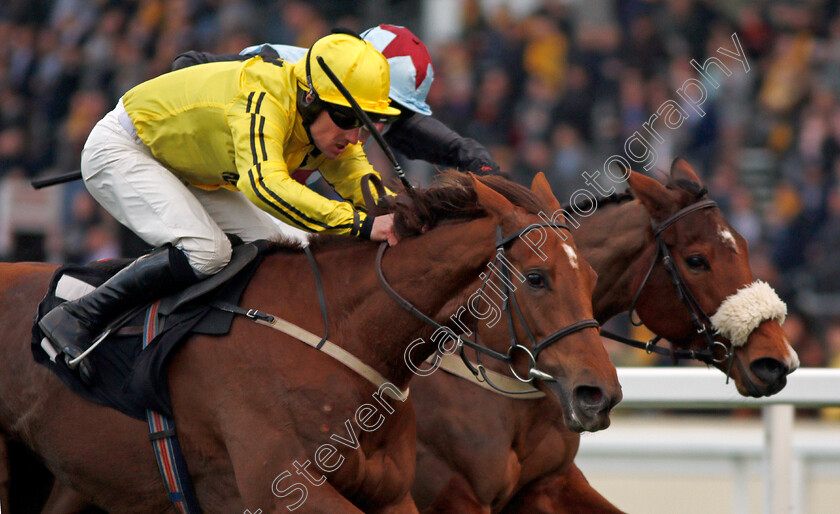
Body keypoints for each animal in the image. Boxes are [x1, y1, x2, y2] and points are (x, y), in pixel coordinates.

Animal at [0, 174, 616, 510]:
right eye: (536, 278)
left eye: (591, 277)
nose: (600, 394)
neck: (341, 334)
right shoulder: (285, 492)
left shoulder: (394, 494)